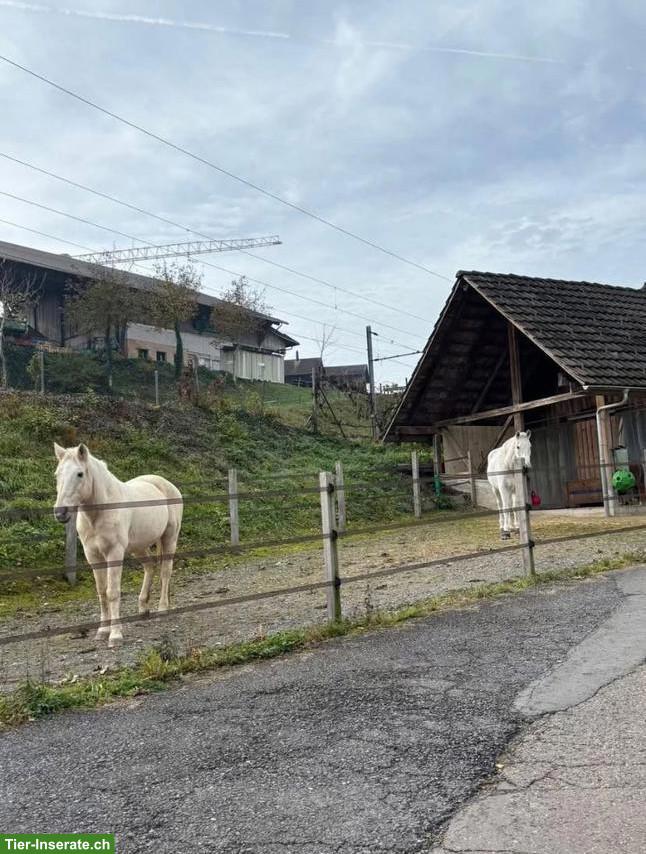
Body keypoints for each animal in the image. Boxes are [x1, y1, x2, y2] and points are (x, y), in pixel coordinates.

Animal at [53, 443, 183, 647]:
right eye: (57, 474)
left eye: (80, 474)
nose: (60, 512)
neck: (101, 511)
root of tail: (165, 484)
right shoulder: (93, 556)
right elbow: (101, 592)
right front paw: (102, 631)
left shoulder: (114, 553)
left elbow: (112, 592)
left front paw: (115, 635)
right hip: (139, 547)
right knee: (150, 567)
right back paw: (143, 607)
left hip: (169, 539)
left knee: (165, 572)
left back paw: (162, 609)